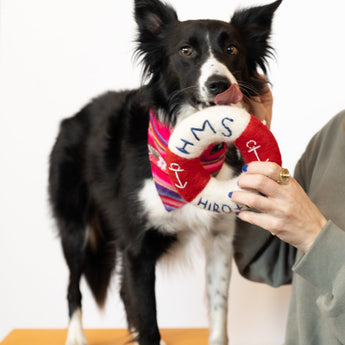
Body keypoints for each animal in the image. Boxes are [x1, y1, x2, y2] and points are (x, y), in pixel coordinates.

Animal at [48, 0, 280, 344]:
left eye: (232, 49)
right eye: (186, 51)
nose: (219, 84)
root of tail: (72, 119)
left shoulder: (220, 239)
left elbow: (218, 314)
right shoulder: (137, 248)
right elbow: (148, 319)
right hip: (77, 228)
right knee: (73, 287)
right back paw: (75, 335)